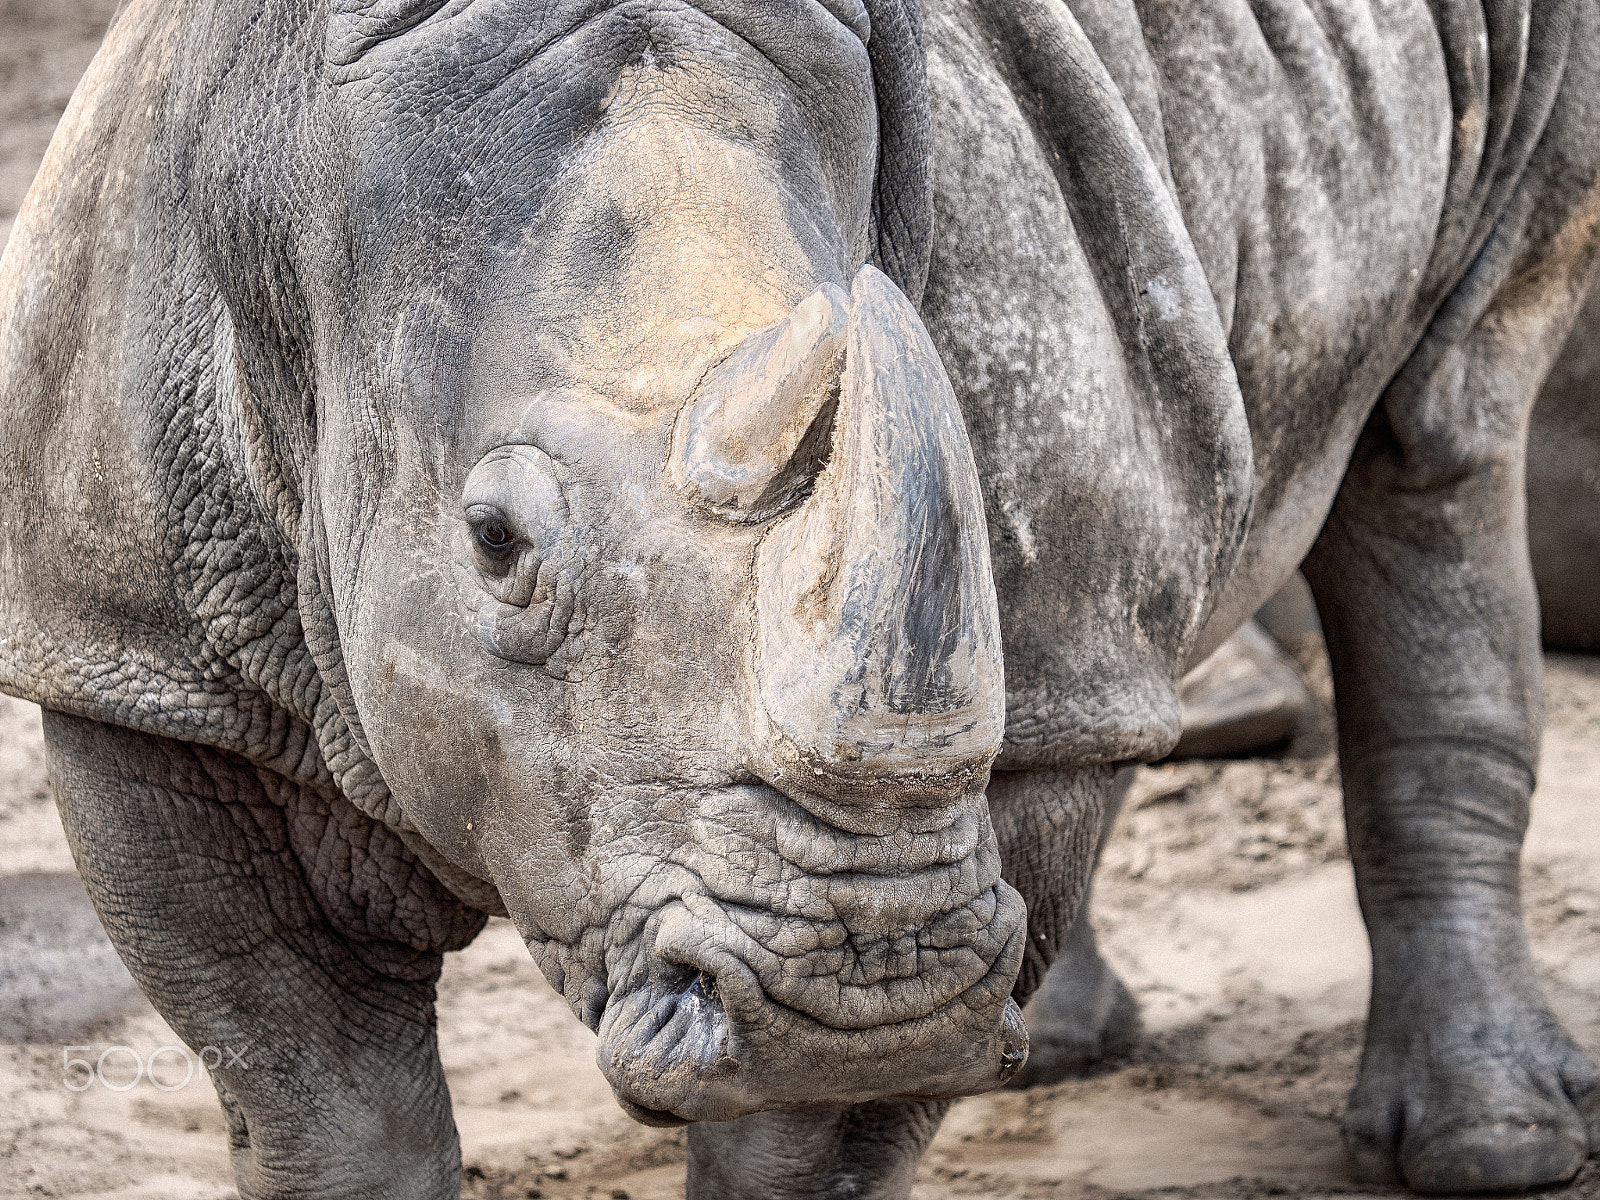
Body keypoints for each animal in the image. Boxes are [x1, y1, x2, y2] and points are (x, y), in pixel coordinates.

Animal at [1, 0, 1596, 1196]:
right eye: (495, 542)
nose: (871, 978)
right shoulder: (138, 660)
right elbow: (323, 1103)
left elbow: (812, 1141)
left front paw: (875, 1059)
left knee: (1445, 423)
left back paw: (1494, 1147)